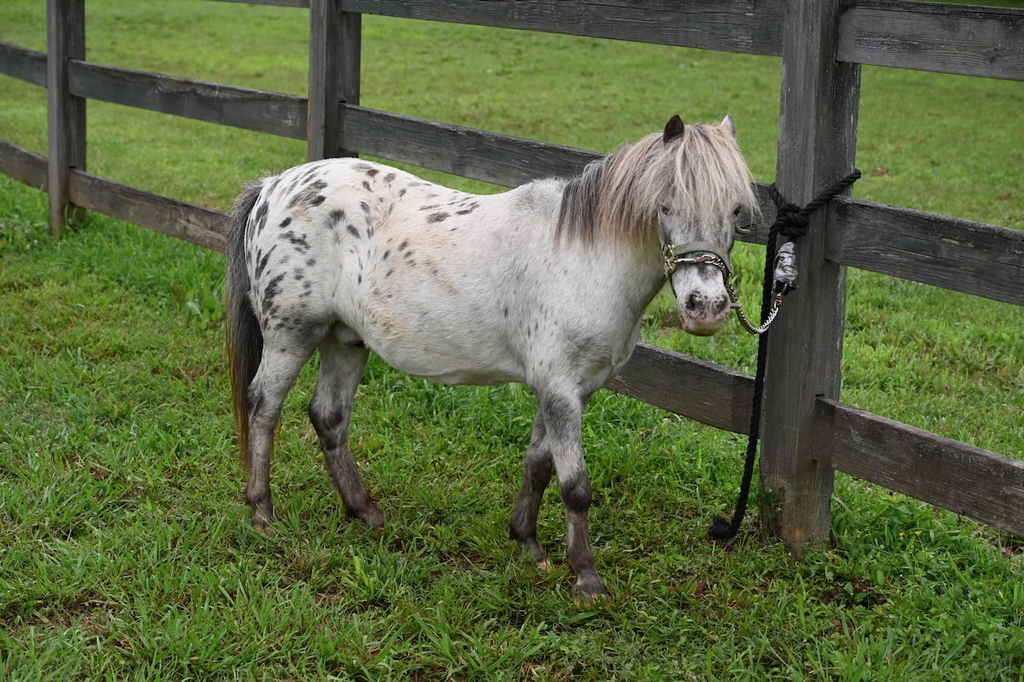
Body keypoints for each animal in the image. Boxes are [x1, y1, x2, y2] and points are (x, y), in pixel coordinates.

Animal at [225, 114, 757, 599]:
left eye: (736, 211)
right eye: (665, 204)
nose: (706, 307)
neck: (585, 258)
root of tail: (273, 186)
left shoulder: (564, 388)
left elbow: (539, 466)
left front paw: (528, 545)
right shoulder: (561, 389)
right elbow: (575, 486)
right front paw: (586, 578)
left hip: (345, 339)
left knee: (329, 417)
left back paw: (365, 512)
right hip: (292, 334)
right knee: (264, 408)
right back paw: (263, 512)